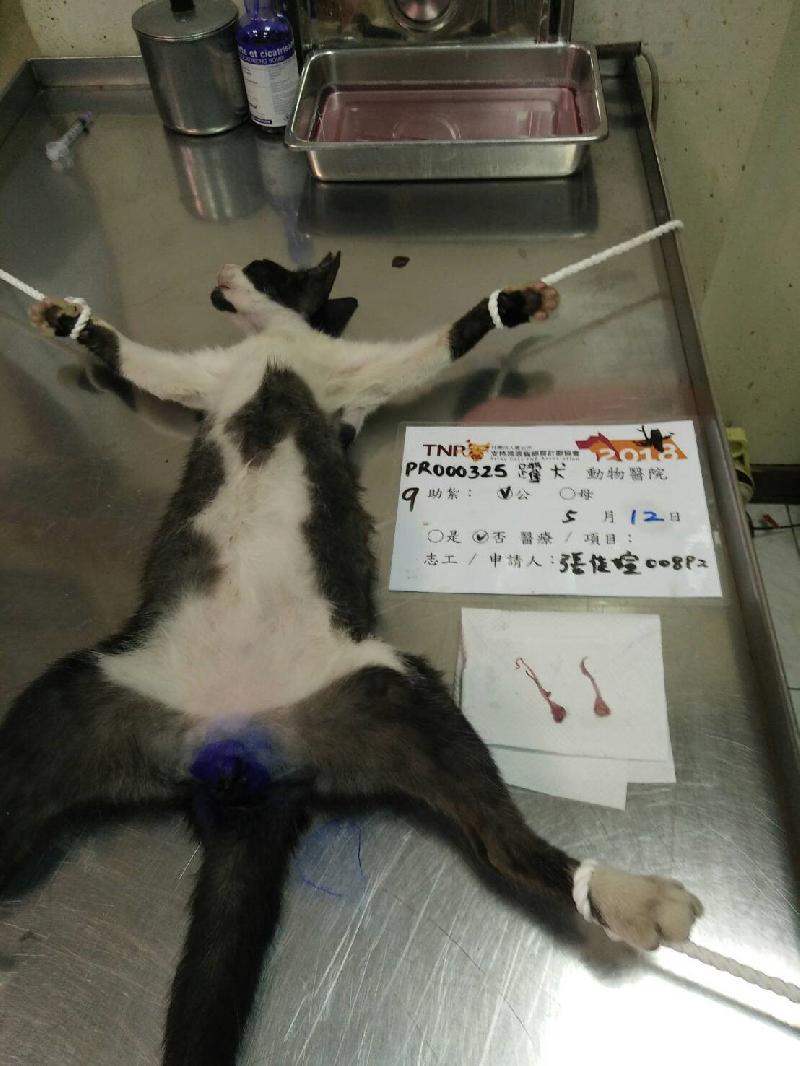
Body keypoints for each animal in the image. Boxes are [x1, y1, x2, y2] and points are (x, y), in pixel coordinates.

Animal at [1, 251, 702, 1066]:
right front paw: (63, 320)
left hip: (396, 695)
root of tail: (239, 758)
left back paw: (623, 894)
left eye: (271, 267)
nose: (226, 270)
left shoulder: (352, 375)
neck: (273, 349)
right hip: (73, 700)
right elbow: (131, 356)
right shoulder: (207, 378)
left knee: (506, 842)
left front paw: (518, 306)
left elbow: (438, 345)